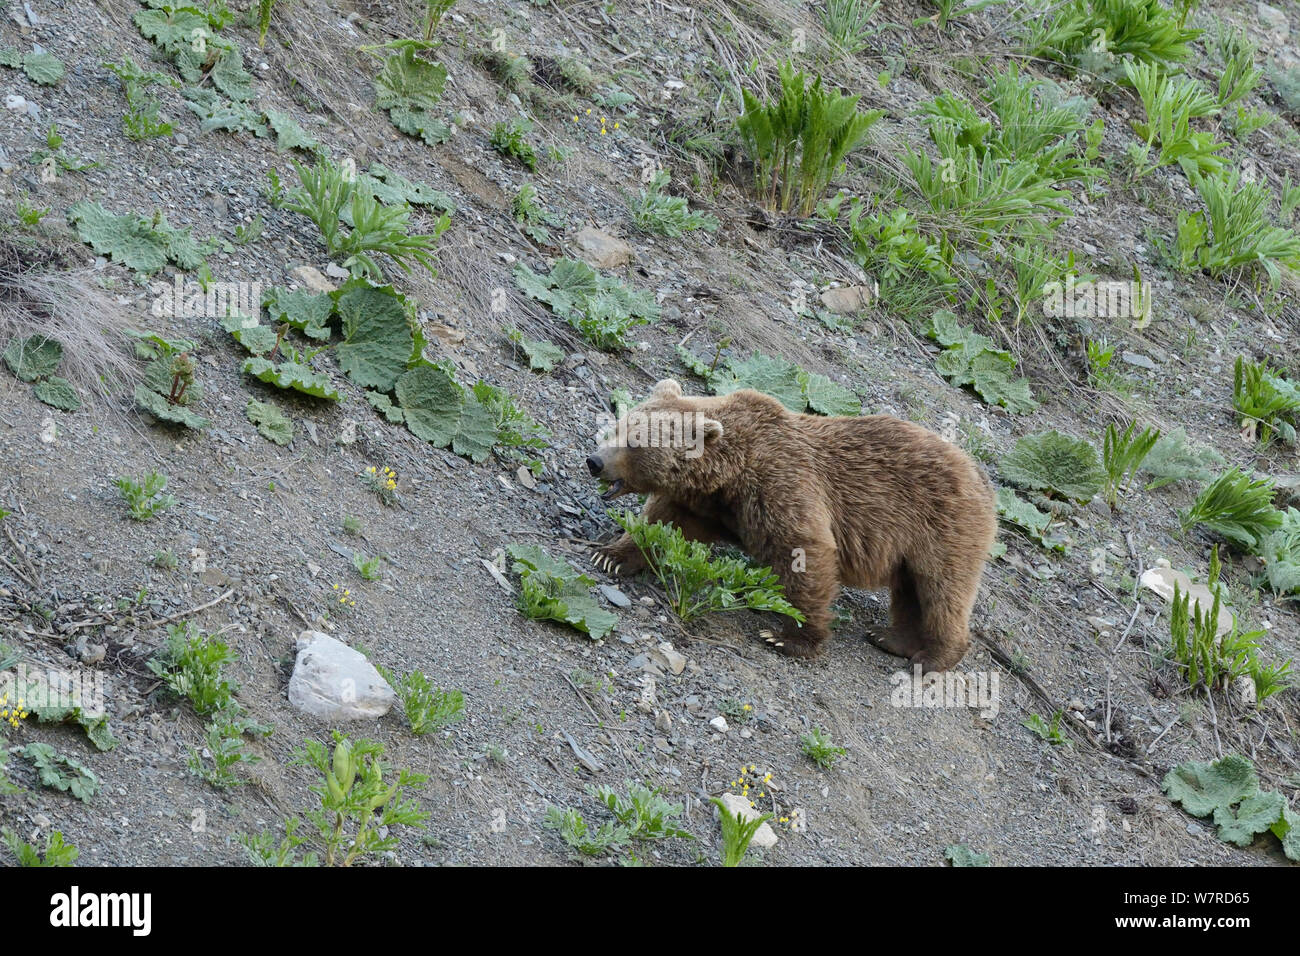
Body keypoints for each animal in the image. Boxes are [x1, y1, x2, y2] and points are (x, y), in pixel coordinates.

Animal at [587, 377, 993, 671]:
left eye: (635, 442)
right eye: (618, 426)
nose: (594, 461)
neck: (728, 473)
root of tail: (980, 477)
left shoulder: (780, 484)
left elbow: (806, 554)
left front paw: (788, 637)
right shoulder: (708, 504)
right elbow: (659, 522)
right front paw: (610, 555)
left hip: (942, 527)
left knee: (941, 591)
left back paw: (932, 658)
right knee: (910, 591)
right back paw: (890, 637)